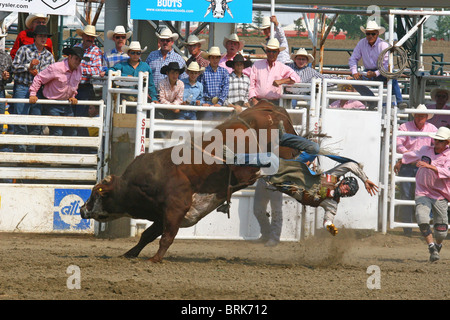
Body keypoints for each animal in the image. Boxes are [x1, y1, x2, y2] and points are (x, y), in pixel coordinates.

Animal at [80, 101, 298, 262]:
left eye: (97, 192)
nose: (82, 209)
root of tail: (268, 107)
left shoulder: (175, 209)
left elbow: (166, 238)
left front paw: (155, 259)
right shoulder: (161, 214)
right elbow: (147, 235)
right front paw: (129, 253)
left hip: (279, 154)